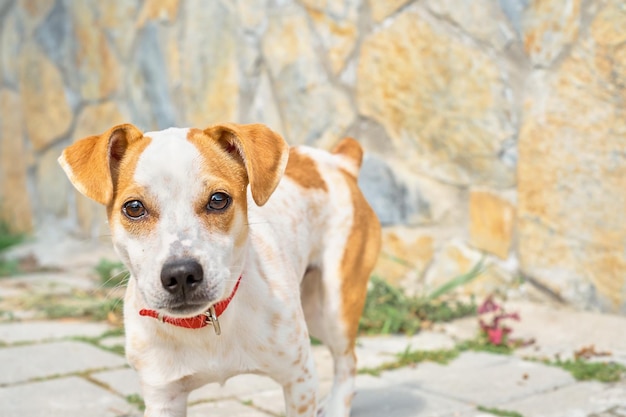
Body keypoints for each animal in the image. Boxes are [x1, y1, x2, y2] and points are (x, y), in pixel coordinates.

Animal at [58, 122, 380, 414]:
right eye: (134, 207)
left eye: (218, 200)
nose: (181, 274)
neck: (205, 324)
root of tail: (339, 161)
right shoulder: (163, 397)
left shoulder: (299, 380)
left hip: (334, 307)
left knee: (347, 362)